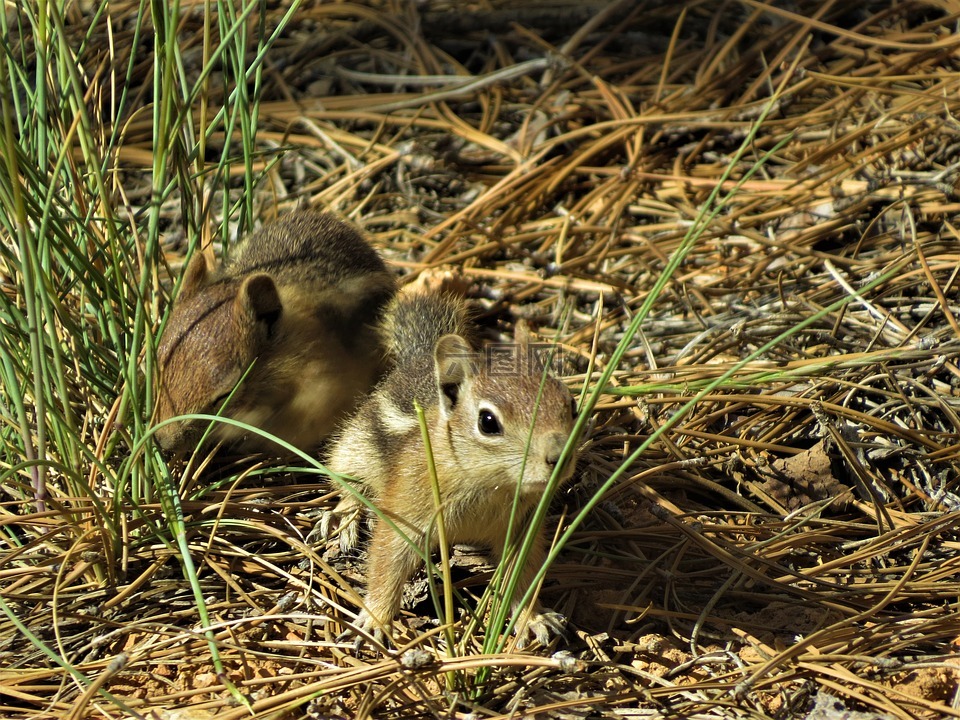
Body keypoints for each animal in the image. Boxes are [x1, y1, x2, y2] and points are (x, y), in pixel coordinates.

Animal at [322, 282, 576, 648]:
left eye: (571, 404)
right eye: (488, 422)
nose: (559, 456)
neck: (489, 484)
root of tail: (420, 355)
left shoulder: (522, 526)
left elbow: (522, 574)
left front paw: (533, 616)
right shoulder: (406, 510)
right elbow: (387, 563)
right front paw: (375, 619)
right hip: (353, 448)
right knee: (347, 482)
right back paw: (345, 520)